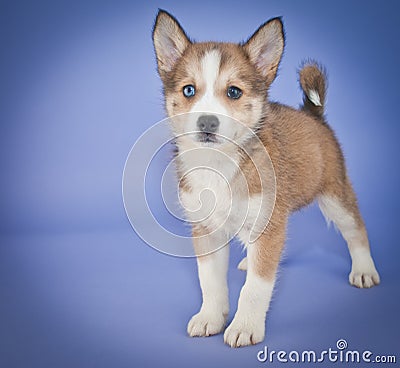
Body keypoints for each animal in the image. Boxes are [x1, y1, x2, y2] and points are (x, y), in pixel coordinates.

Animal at [152, 9, 380, 348]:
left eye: (234, 92)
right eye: (188, 90)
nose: (207, 122)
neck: (220, 165)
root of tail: (313, 114)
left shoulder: (269, 224)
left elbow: (255, 287)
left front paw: (245, 326)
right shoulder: (206, 230)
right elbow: (210, 281)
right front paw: (210, 317)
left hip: (335, 196)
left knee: (356, 229)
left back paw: (364, 270)